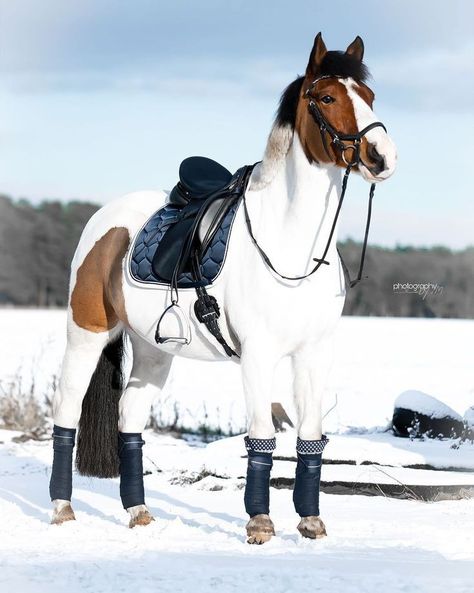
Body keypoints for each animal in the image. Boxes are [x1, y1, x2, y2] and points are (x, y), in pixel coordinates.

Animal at [49, 31, 396, 540]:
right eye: (328, 97)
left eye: (369, 96)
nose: (382, 157)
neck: (290, 244)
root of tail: (104, 219)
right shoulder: (258, 353)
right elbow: (263, 436)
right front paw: (260, 522)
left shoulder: (314, 353)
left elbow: (310, 436)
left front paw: (310, 520)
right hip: (86, 335)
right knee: (66, 412)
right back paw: (61, 508)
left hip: (153, 351)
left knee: (129, 418)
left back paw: (138, 511)